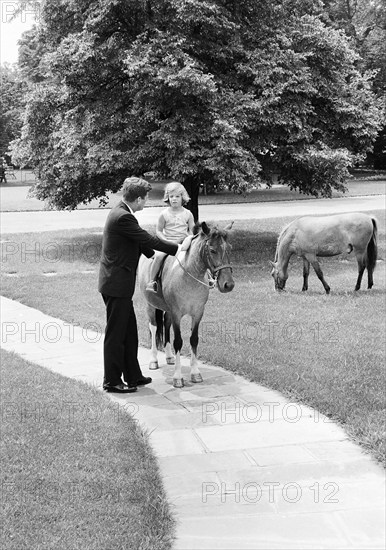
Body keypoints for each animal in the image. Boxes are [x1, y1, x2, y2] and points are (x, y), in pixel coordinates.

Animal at [139, 222, 235, 390]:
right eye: (212, 250)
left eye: (229, 248)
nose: (228, 284)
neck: (189, 275)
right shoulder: (177, 314)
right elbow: (178, 341)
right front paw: (178, 377)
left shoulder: (197, 313)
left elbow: (194, 340)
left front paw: (195, 373)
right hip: (151, 305)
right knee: (154, 327)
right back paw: (153, 360)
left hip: (168, 311)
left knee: (166, 324)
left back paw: (169, 356)